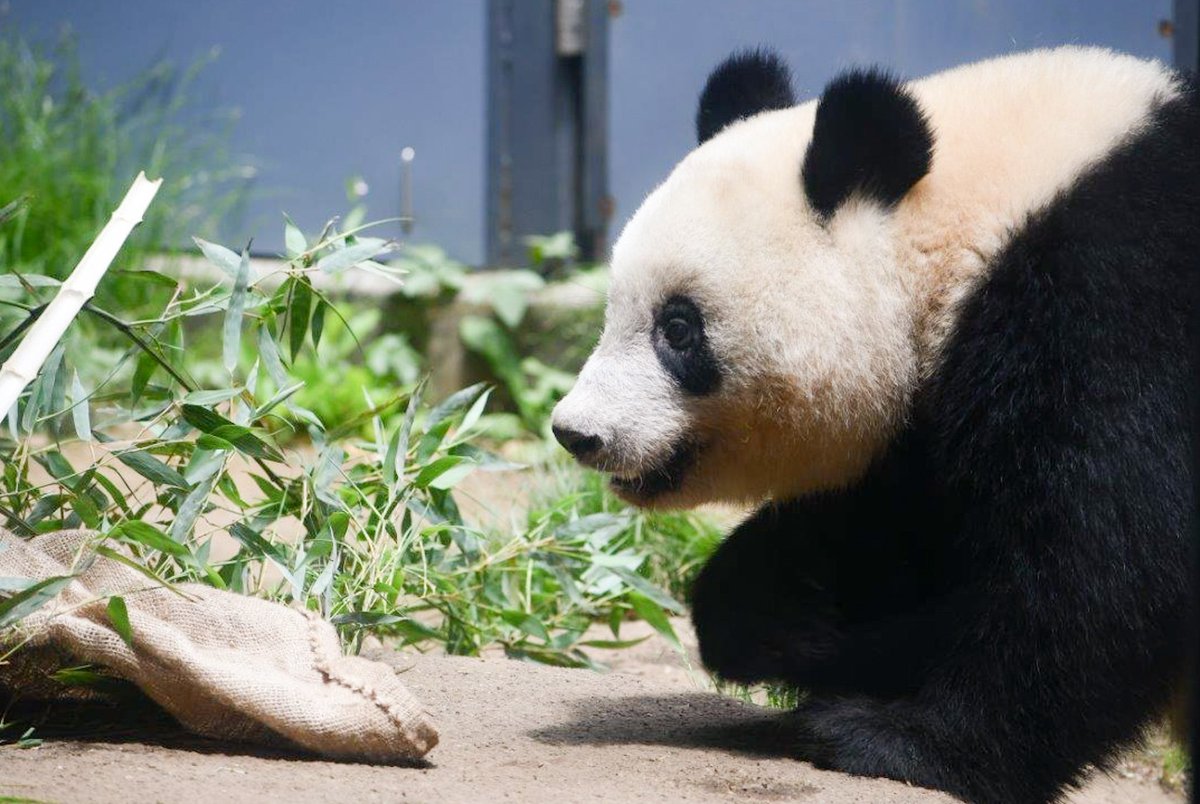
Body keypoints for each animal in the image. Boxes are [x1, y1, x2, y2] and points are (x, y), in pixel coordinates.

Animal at [552, 48, 1200, 804]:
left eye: (678, 327)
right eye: (612, 308)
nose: (578, 433)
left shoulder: (1116, 302)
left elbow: (1113, 560)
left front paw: (899, 741)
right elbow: (903, 524)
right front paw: (773, 613)